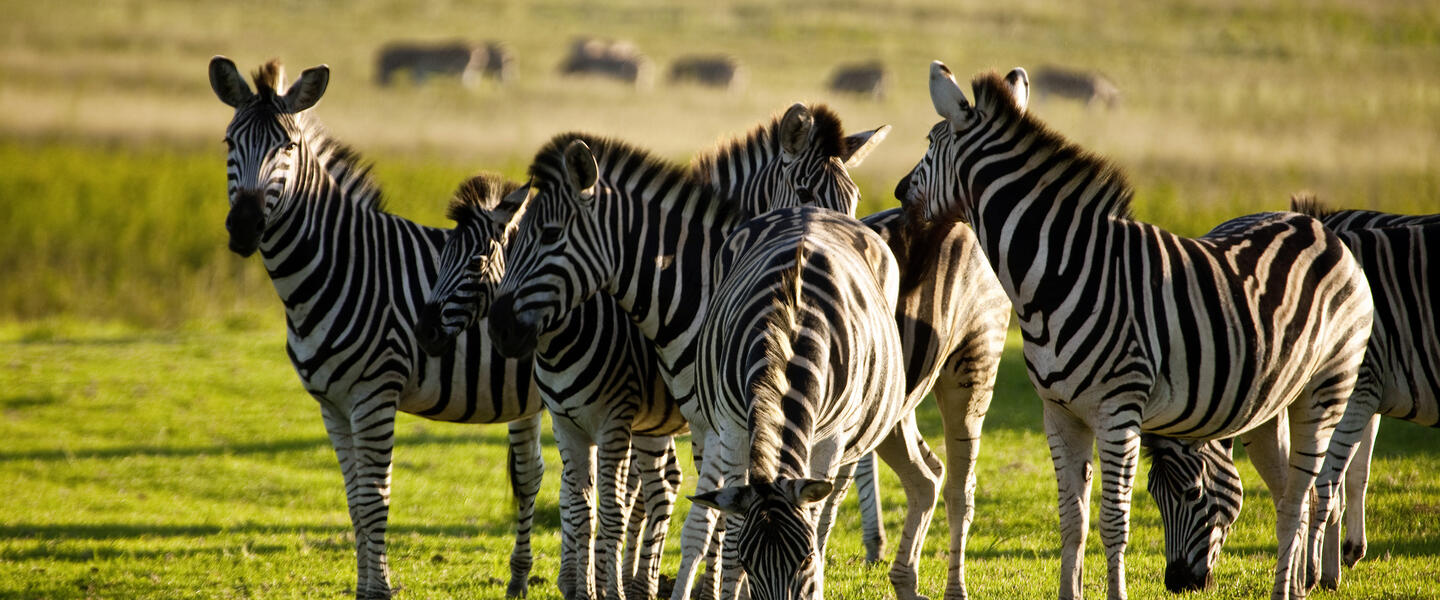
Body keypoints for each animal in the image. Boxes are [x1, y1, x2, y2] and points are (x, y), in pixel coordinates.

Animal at [210, 55, 547, 592]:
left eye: (288, 147)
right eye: (228, 143)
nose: (243, 226)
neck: (339, 266)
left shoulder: (375, 394)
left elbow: (374, 500)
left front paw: (380, 589)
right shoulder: (331, 405)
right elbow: (354, 501)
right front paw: (366, 586)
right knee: (538, 471)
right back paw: (524, 578)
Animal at [417, 172, 685, 598]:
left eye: (476, 262)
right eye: (440, 261)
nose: (424, 333)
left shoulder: (612, 421)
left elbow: (605, 505)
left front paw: (599, 585)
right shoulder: (567, 420)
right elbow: (577, 503)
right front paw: (582, 585)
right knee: (667, 483)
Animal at [688, 205, 938, 598]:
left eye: (804, 559)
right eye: (748, 563)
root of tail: (809, 209)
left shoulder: (831, 440)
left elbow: (817, 524)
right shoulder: (731, 429)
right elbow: (731, 535)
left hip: (852, 438)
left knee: (831, 510)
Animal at [892, 61, 1376, 598]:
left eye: (929, 144)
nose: (897, 193)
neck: (1057, 272)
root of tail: (1320, 228)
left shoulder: (1118, 411)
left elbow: (1112, 522)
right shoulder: (1059, 415)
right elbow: (1072, 520)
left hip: (1327, 387)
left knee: (1304, 494)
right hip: (1270, 407)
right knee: (1293, 494)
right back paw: (1293, 587)